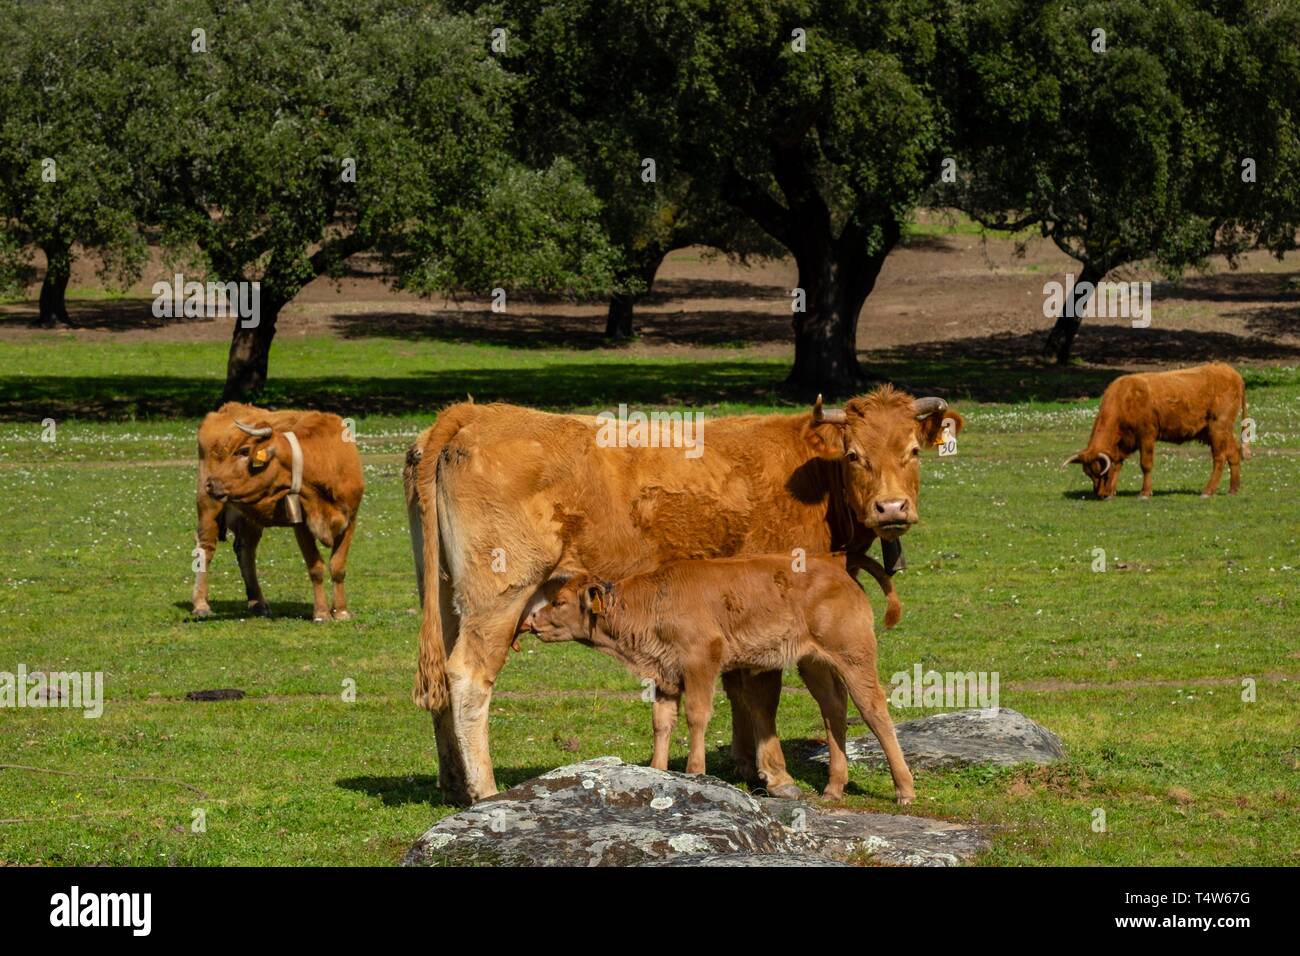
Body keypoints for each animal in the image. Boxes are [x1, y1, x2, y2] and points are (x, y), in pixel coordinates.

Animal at [189, 403, 361, 621]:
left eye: (244, 451)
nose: (210, 483)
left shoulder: (351, 519)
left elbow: (338, 566)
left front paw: (341, 611)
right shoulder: (301, 524)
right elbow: (315, 567)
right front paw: (322, 613)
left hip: (249, 516)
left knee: (246, 550)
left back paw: (258, 603)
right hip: (208, 505)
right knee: (206, 548)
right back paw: (201, 604)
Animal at [525, 554, 915, 806]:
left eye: (559, 601)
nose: (532, 621)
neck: (651, 604)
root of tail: (839, 572)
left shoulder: (701, 662)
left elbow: (697, 716)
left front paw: (695, 771)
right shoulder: (665, 675)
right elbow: (662, 722)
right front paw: (657, 770)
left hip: (854, 657)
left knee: (874, 711)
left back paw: (904, 790)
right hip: (814, 663)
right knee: (833, 710)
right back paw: (834, 788)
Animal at [1066, 361, 1248, 502]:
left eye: (1100, 473)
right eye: (1089, 474)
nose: (1100, 494)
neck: (1124, 399)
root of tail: (1228, 370)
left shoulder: (1146, 436)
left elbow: (1145, 464)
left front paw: (1145, 493)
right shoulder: (1124, 444)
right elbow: (1117, 464)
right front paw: (1112, 492)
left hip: (1218, 428)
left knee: (1219, 458)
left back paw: (1208, 491)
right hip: (1220, 431)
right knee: (1233, 453)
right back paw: (1233, 489)